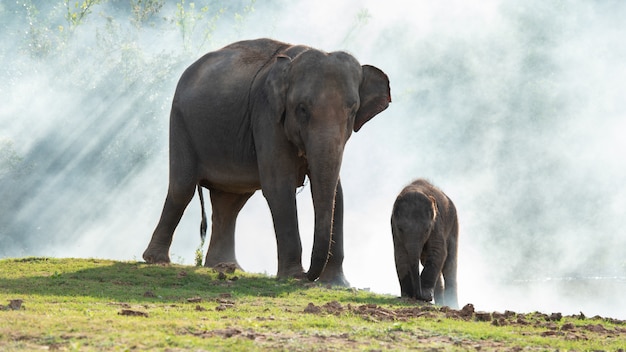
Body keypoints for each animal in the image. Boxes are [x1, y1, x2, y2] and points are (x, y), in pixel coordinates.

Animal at [144, 38, 392, 286]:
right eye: (302, 109)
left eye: (352, 111)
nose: (308, 276)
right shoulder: (267, 115)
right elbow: (279, 187)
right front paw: (293, 276)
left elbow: (337, 194)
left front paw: (337, 285)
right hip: (180, 122)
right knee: (182, 189)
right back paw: (156, 260)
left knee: (231, 202)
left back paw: (225, 266)